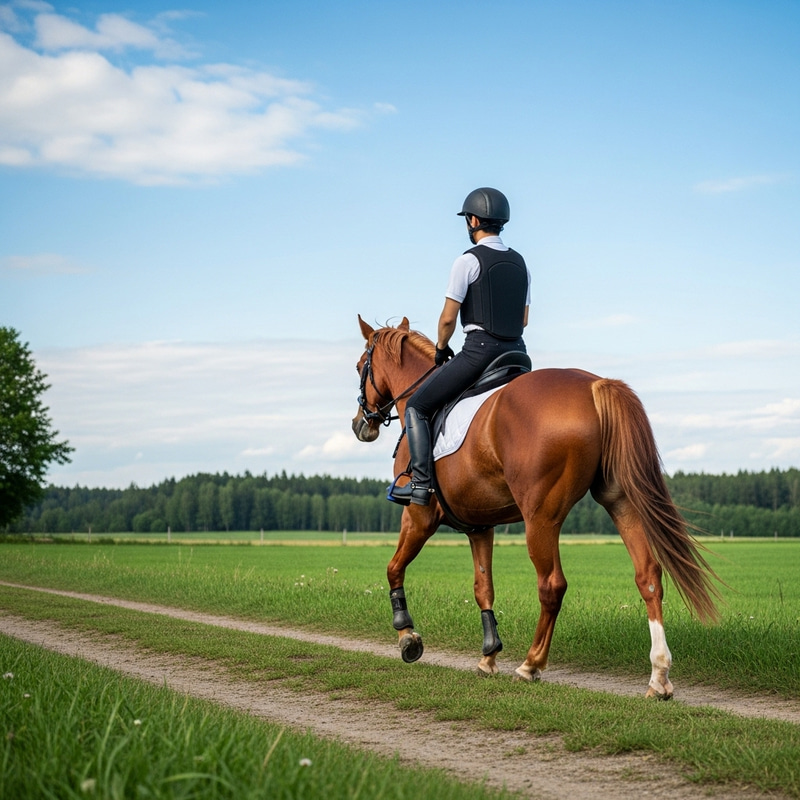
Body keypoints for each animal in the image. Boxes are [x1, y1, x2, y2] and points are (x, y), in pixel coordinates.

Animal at [351, 315, 721, 699]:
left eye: (360, 366)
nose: (360, 424)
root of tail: (595, 385)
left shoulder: (419, 516)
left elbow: (393, 568)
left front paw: (407, 635)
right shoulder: (480, 527)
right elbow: (483, 587)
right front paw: (489, 655)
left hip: (540, 517)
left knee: (552, 585)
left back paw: (531, 664)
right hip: (621, 502)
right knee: (648, 576)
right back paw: (659, 676)